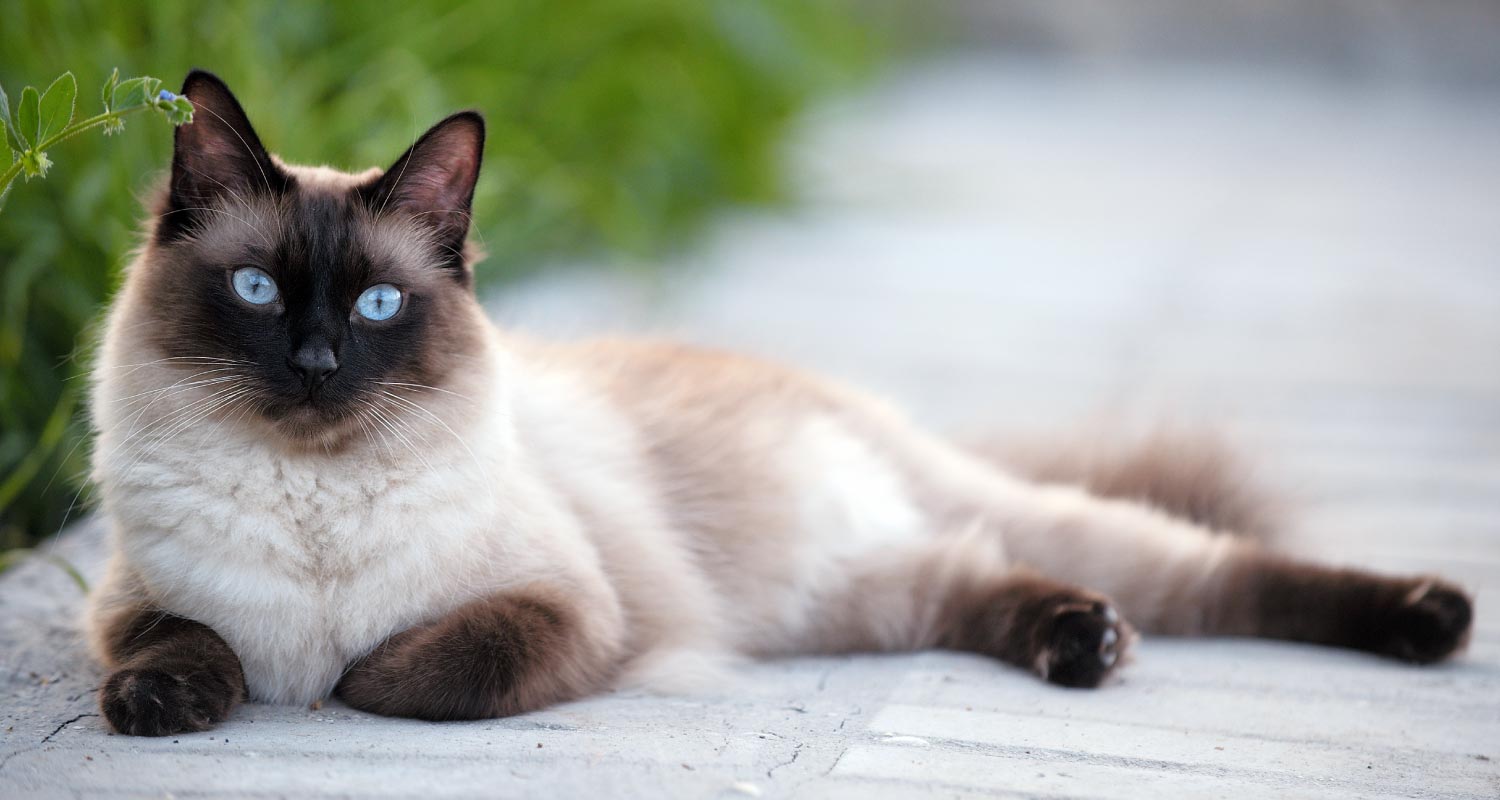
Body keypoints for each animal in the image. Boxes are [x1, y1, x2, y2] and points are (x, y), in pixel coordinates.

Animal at [85, 70, 1476, 735]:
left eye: (376, 305)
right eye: (259, 289)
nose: (317, 363)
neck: (312, 506)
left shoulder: (568, 610)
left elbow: (411, 670)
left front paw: (340, 680)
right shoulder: (136, 600)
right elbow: (187, 644)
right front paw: (163, 708)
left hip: (983, 533)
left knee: (1216, 570)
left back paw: (1430, 619)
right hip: (858, 597)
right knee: (983, 579)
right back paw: (1083, 643)